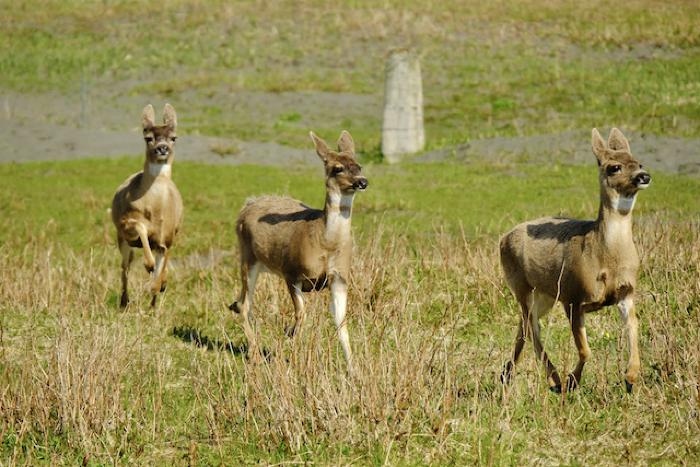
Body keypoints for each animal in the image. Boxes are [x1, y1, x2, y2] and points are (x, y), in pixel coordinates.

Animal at [111, 104, 184, 308]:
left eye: (173, 137)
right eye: (148, 137)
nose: (162, 148)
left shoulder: (167, 237)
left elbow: (162, 263)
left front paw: (158, 286)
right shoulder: (125, 224)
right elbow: (140, 227)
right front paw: (148, 265)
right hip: (121, 239)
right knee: (125, 267)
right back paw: (124, 301)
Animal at [228, 130, 368, 372]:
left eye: (358, 165)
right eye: (337, 168)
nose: (362, 181)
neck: (325, 243)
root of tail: (247, 205)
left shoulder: (340, 277)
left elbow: (341, 322)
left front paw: (353, 370)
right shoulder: (291, 272)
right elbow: (301, 314)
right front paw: (292, 354)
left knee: (241, 303)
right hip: (247, 258)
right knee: (245, 304)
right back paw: (255, 355)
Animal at [499, 128, 651, 394]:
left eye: (638, 162)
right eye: (614, 167)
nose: (644, 176)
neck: (606, 256)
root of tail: (503, 238)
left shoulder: (626, 291)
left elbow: (633, 327)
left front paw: (631, 376)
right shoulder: (572, 296)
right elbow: (585, 350)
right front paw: (572, 380)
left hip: (544, 294)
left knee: (525, 324)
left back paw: (507, 374)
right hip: (521, 285)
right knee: (532, 327)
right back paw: (554, 380)